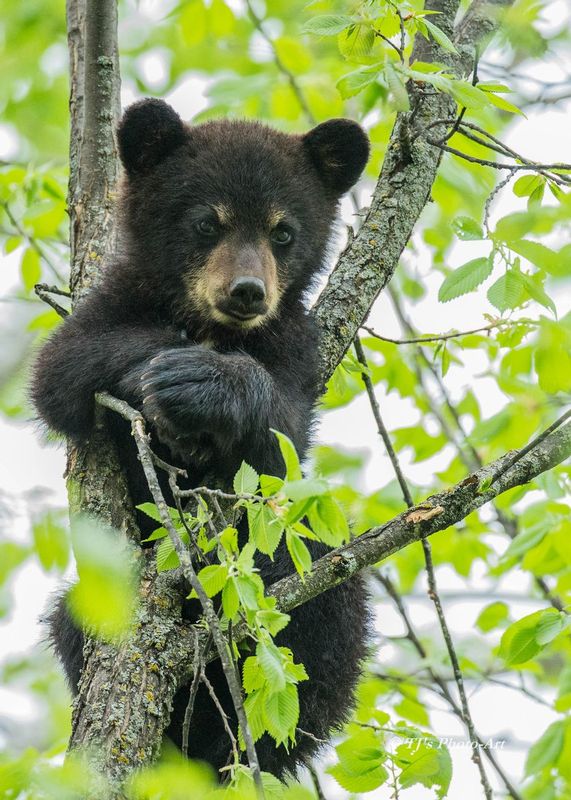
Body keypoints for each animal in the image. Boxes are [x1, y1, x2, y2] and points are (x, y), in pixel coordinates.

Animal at [32, 98, 370, 779]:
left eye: (283, 231)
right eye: (206, 223)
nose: (247, 292)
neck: (212, 327)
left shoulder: (298, 347)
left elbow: (281, 442)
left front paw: (207, 385)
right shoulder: (111, 301)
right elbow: (59, 370)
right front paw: (163, 372)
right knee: (72, 617)